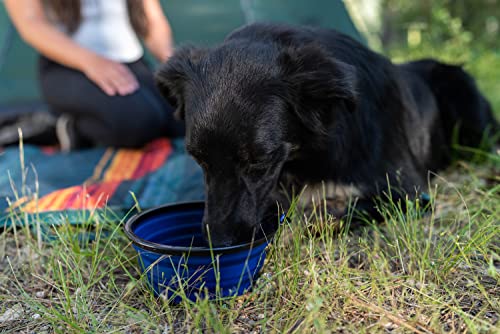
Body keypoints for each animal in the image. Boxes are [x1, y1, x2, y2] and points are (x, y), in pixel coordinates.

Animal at [155, 23, 496, 247]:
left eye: (260, 161)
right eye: (198, 159)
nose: (219, 243)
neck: (309, 156)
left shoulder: (409, 194)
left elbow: (332, 215)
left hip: (465, 99)